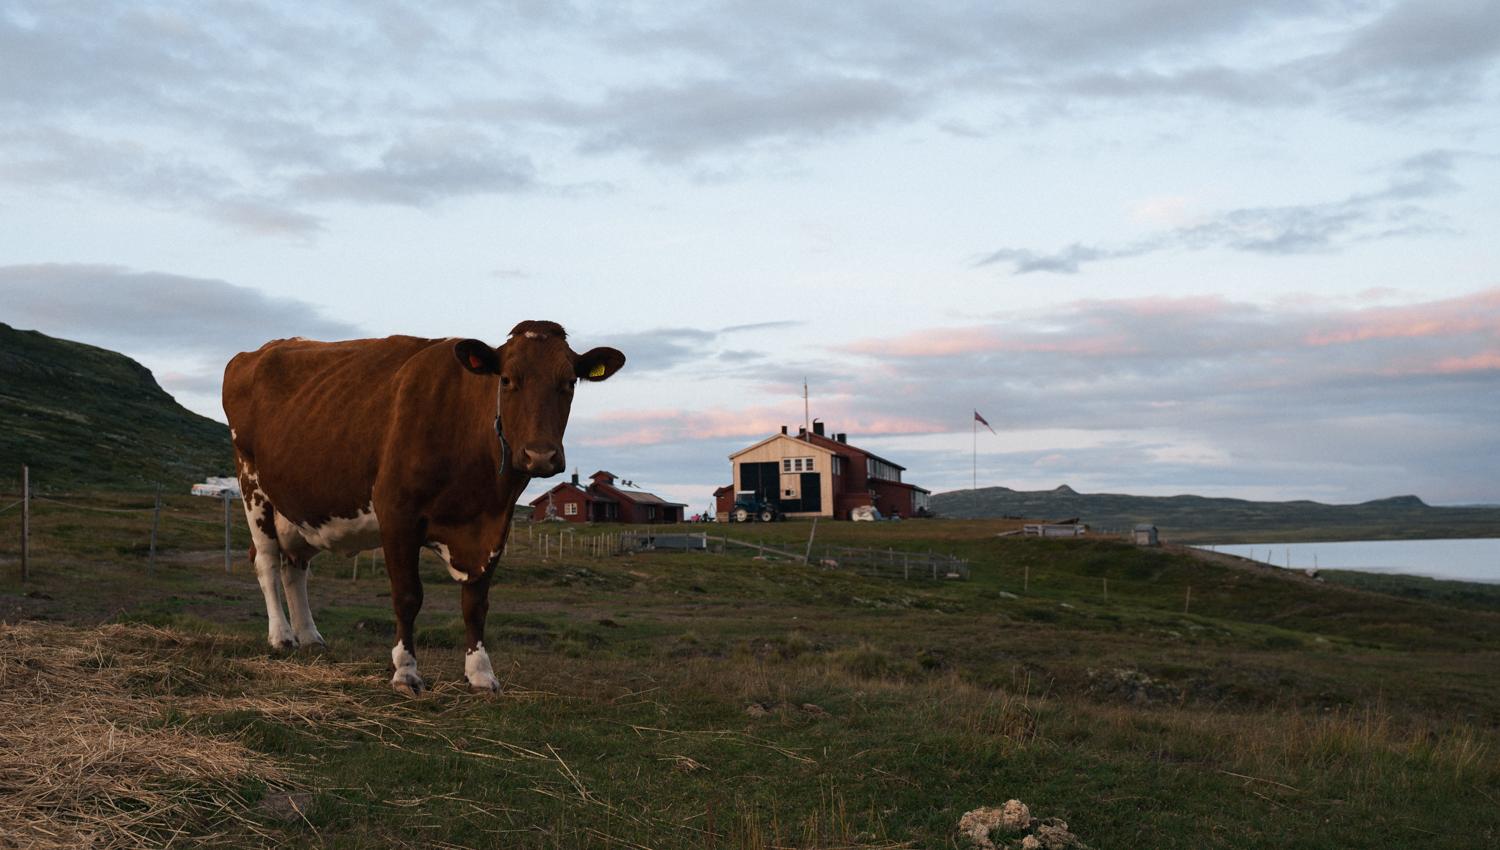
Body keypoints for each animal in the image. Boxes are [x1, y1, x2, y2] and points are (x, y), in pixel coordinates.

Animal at [222, 321, 624, 693]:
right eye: (508, 379)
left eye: (569, 381)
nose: (540, 455)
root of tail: (259, 351)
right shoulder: (397, 513)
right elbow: (408, 595)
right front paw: (405, 671)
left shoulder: (495, 524)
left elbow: (476, 602)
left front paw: (481, 673)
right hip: (252, 484)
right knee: (267, 561)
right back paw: (282, 636)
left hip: (300, 509)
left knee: (295, 568)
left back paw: (309, 636)